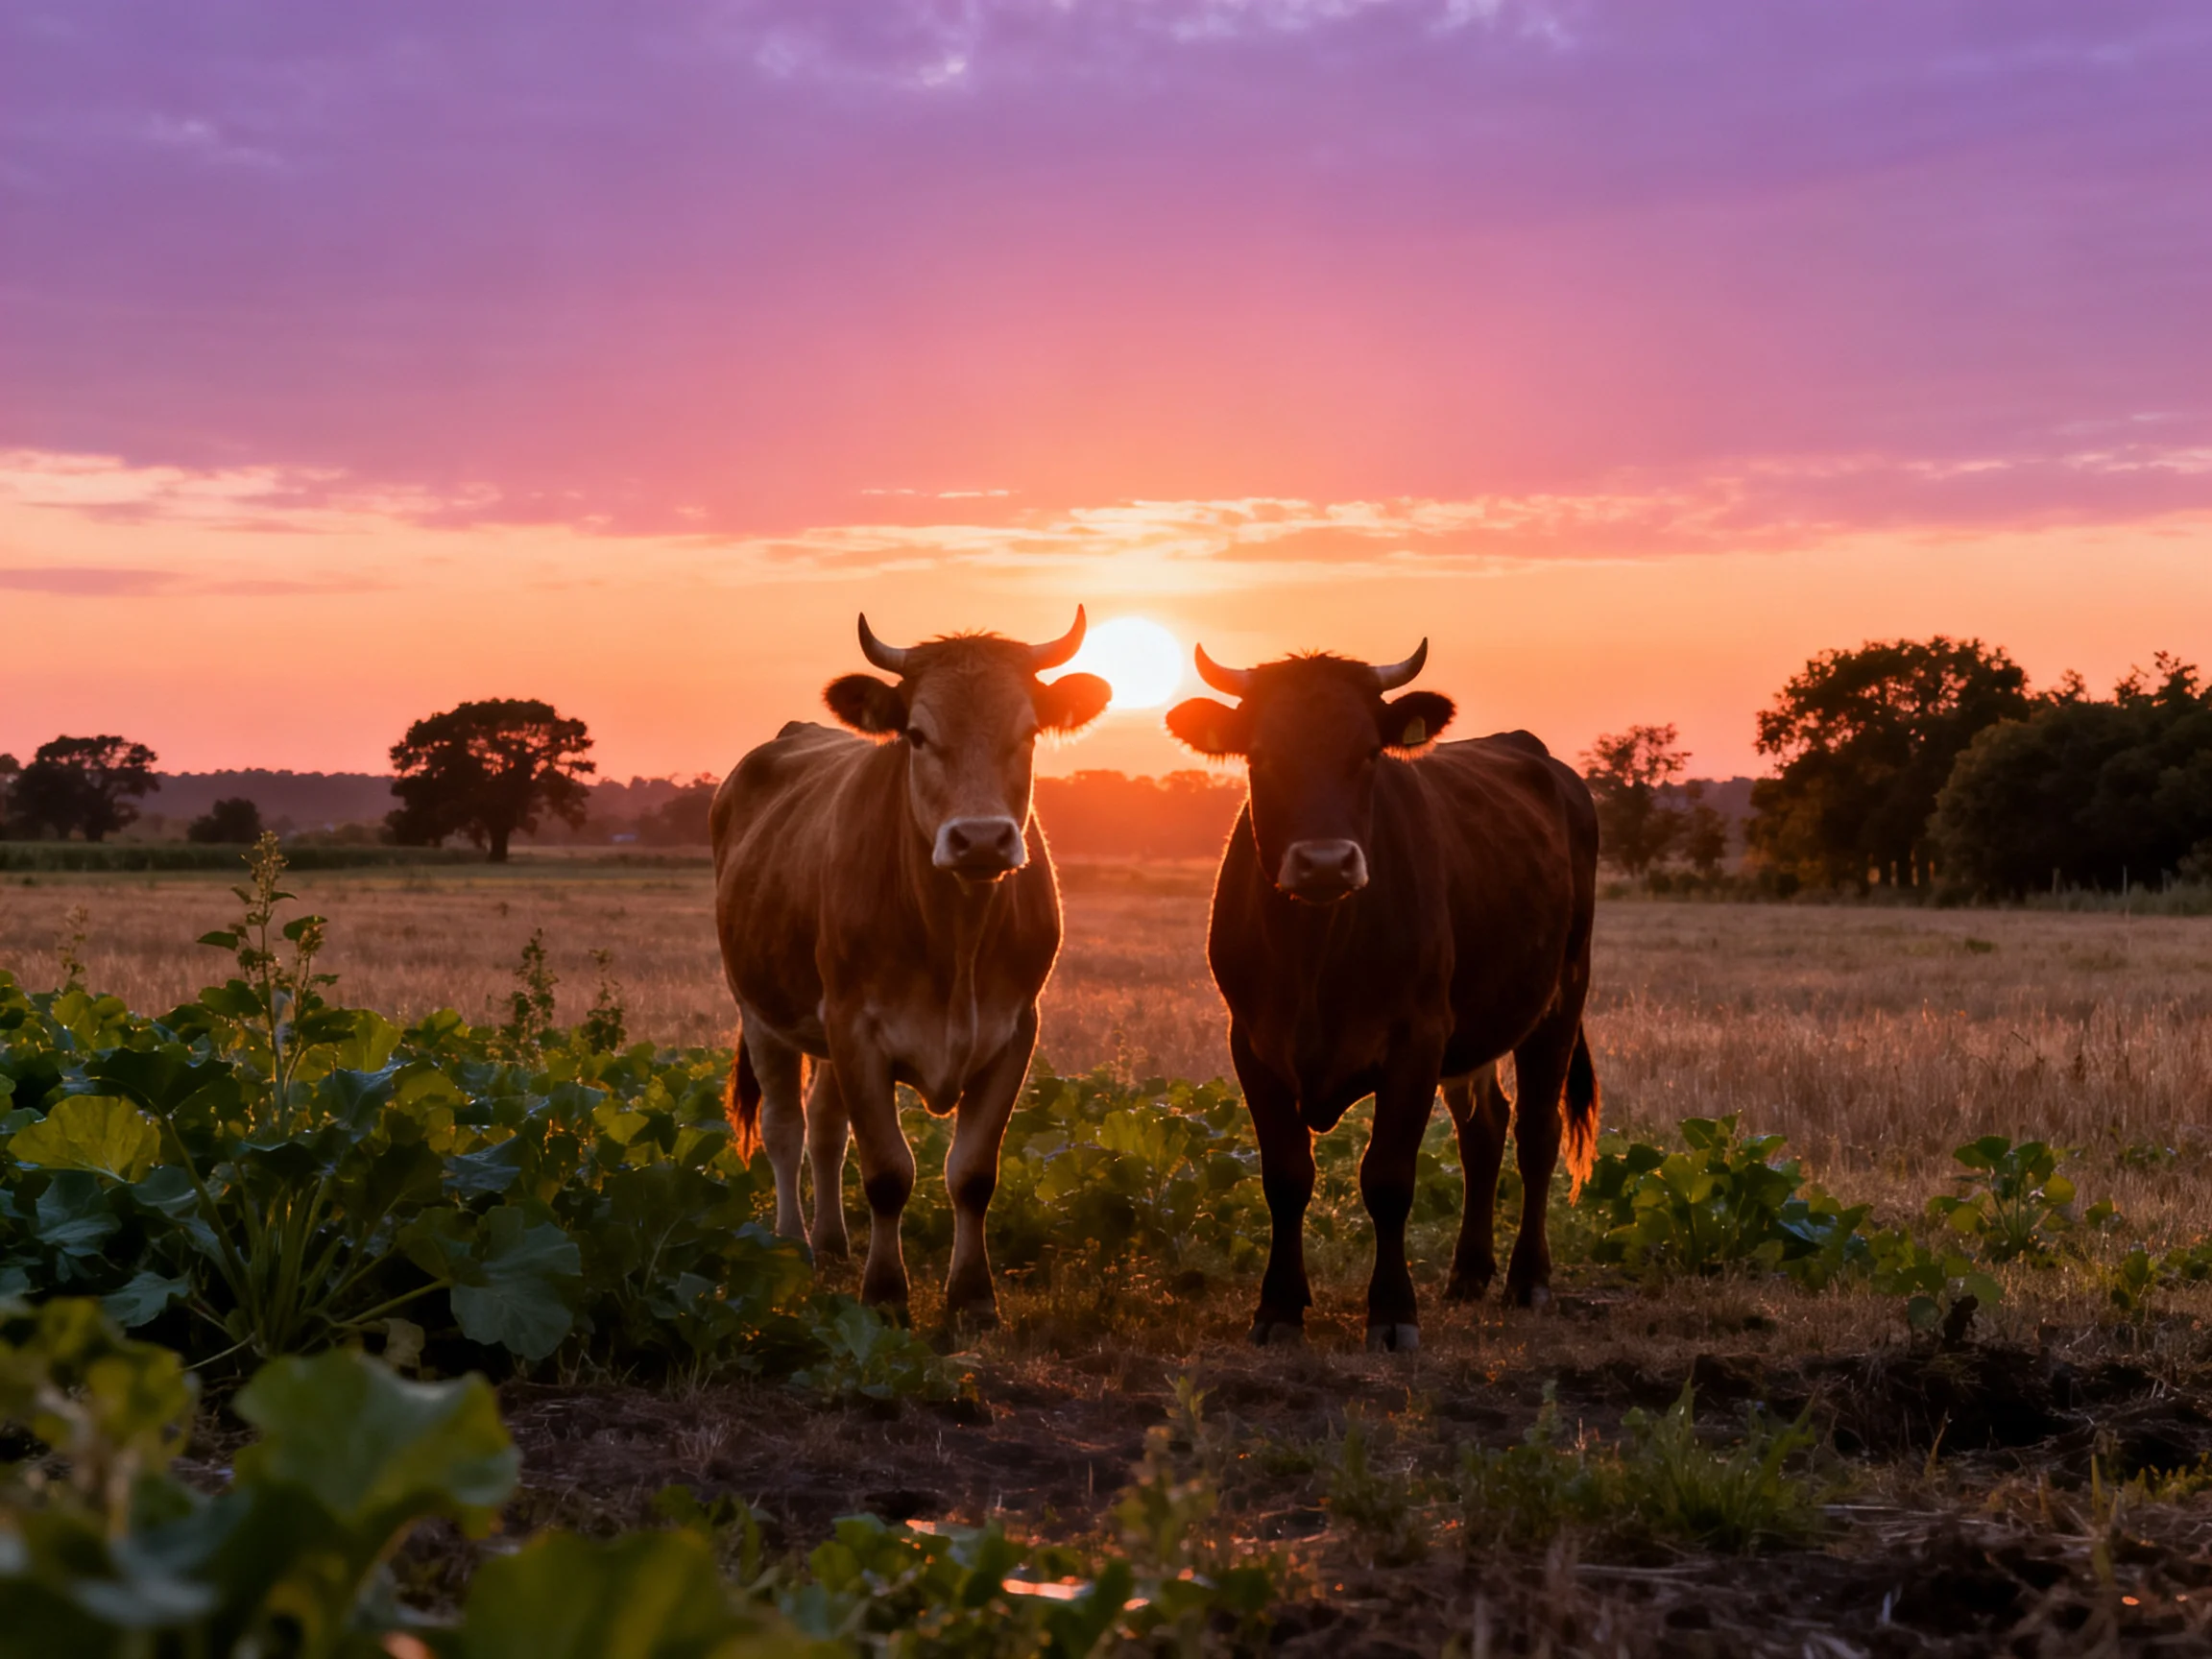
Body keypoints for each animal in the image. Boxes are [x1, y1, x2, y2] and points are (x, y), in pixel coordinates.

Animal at [711, 609, 1110, 1326]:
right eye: (918, 735)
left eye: (1028, 731)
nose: (980, 839)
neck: (955, 937)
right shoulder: (856, 1029)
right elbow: (888, 1173)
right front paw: (885, 1294)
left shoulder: (1014, 1033)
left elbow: (973, 1174)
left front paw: (974, 1297)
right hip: (760, 1012)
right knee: (786, 1128)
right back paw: (792, 1245)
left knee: (824, 1127)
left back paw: (832, 1241)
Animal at [1165, 640, 1600, 1351]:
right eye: (1261, 753)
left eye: (1369, 752)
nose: (1324, 862)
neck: (1315, 953)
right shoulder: (1252, 1045)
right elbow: (1285, 1176)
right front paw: (1278, 1307)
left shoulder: (1416, 1041)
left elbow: (1388, 1178)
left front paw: (1393, 1312)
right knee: (1485, 1129)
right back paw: (1468, 1272)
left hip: (1560, 997)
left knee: (1537, 1130)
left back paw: (1527, 1279)